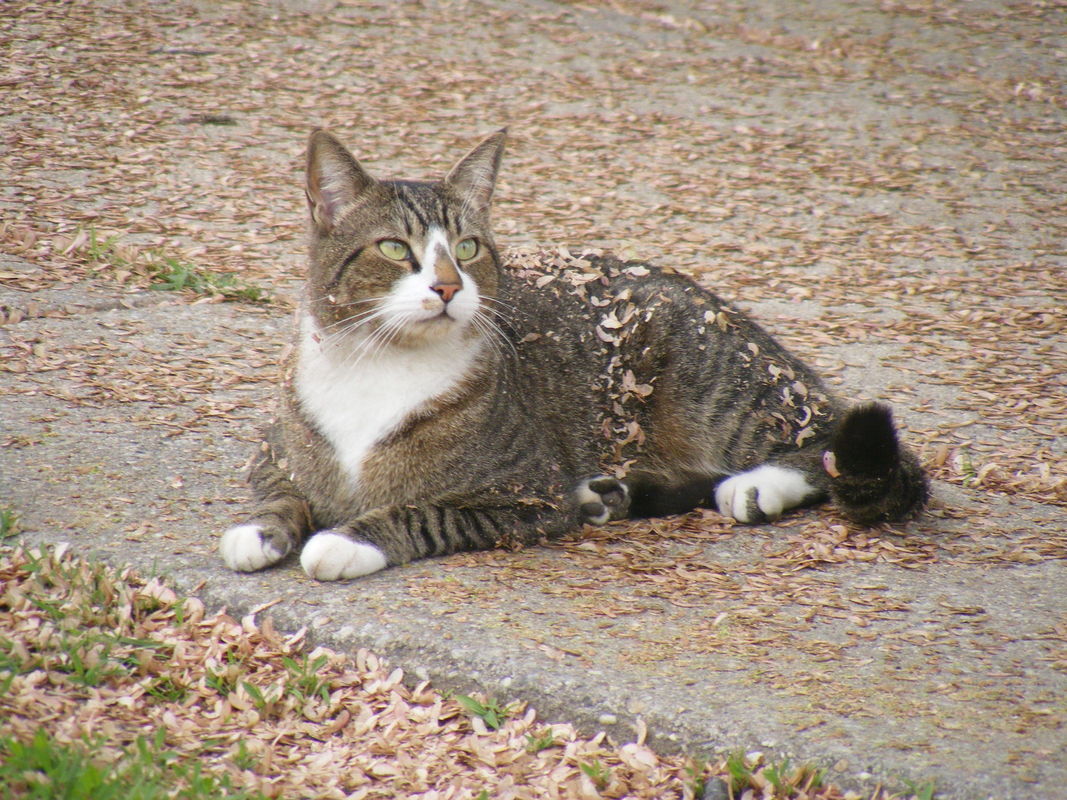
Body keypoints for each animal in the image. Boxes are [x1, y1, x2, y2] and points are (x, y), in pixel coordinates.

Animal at [220, 130, 930, 584]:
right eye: (396, 249)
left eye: (468, 248)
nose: (448, 287)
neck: (378, 362)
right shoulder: (273, 455)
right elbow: (280, 492)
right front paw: (260, 529)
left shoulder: (524, 493)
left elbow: (423, 512)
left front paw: (347, 539)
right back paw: (611, 492)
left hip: (717, 388)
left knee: (835, 441)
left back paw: (757, 484)